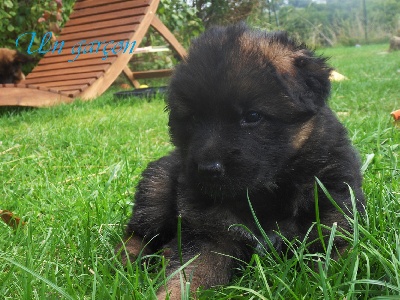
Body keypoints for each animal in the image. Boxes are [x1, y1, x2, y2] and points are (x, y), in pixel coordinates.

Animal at [116, 24, 366, 300]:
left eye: (253, 116)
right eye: (192, 118)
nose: (207, 170)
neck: (265, 193)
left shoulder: (333, 214)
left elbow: (335, 266)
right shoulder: (210, 234)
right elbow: (184, 279)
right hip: (157, 189)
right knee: (137, 234)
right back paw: (127, 259)